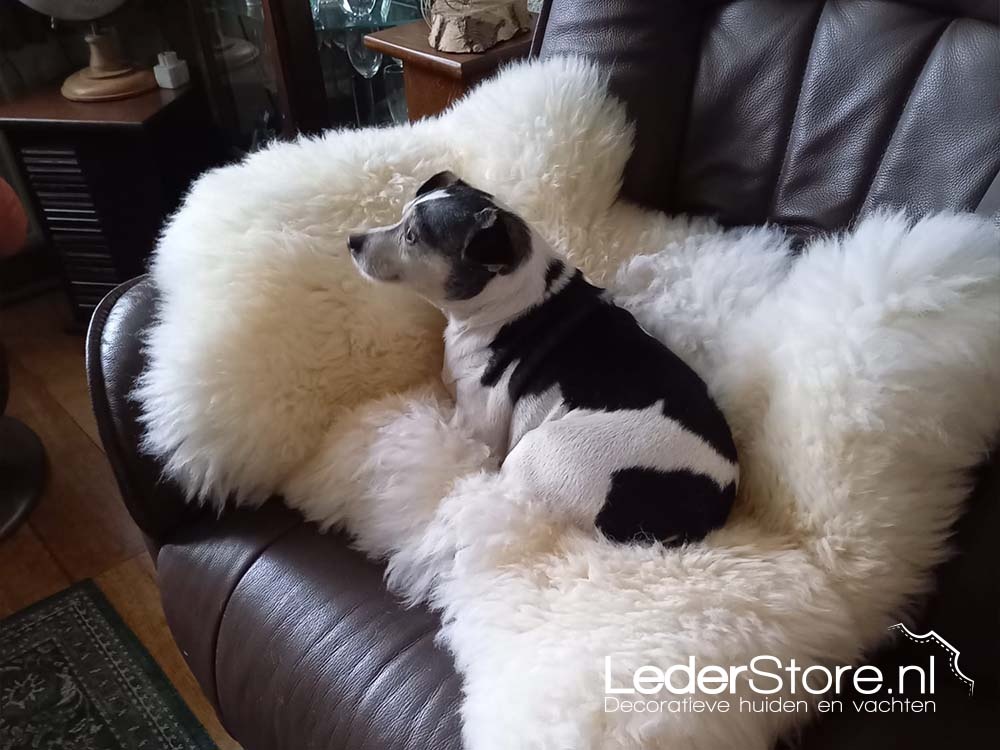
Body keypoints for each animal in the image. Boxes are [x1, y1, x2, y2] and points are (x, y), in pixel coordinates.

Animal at [348, 170, 740, 548]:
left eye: (411, 236)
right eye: (401, 217)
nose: (353, 240)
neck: (512, 301)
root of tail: (697, 518)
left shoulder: (480, 426)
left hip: (540, 452)